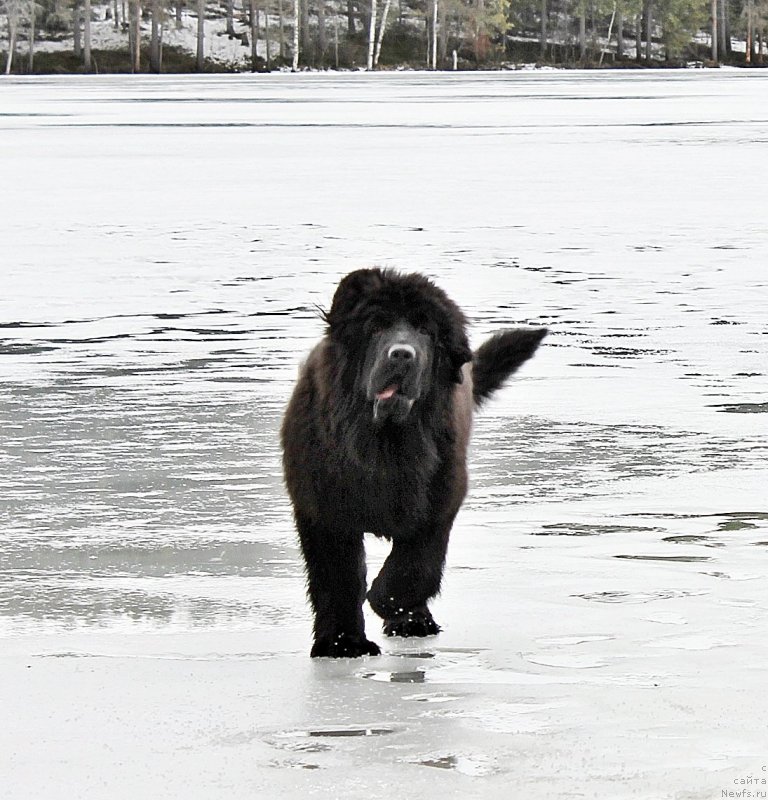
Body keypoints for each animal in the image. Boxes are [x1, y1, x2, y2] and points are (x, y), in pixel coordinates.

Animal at [282, 268, 544, 656]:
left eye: (425, 332)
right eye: (376, 327)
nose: (402, 355)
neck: (384, 445)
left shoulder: (440, 500)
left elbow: (415, 567)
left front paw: (391, 604)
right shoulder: (323, 509)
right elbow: (337, 578)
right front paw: (342, 643)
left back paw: (415, 621)